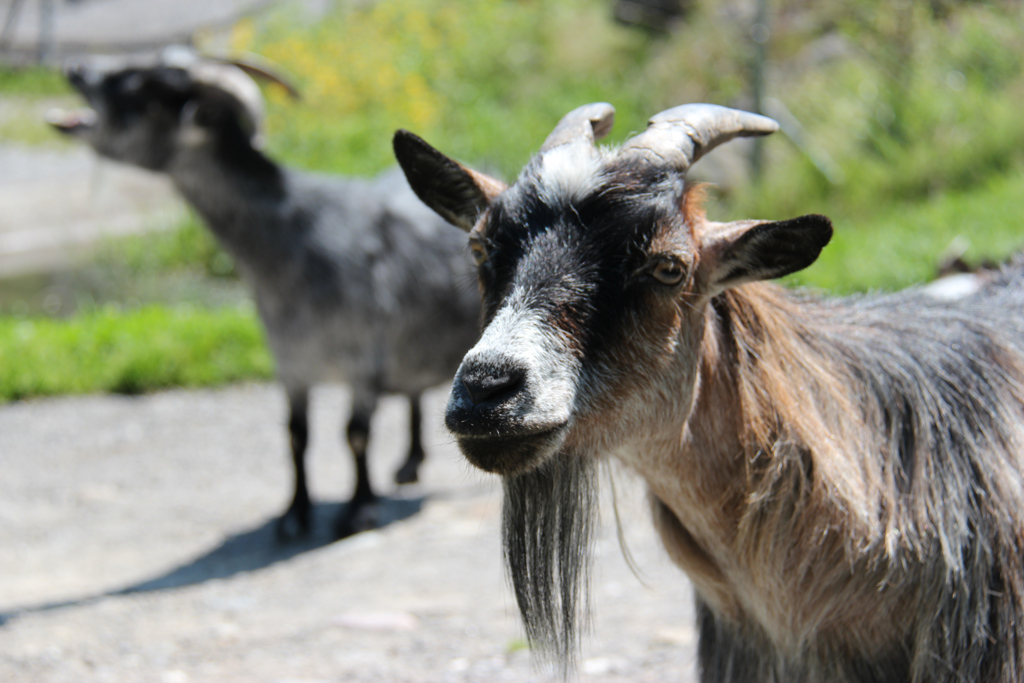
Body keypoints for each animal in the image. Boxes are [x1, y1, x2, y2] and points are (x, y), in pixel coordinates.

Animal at [54, 49, 485, 540]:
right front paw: (294, 514)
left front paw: (358, 509)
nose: (75, 68)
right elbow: (296, 436)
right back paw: (409, 463)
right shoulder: (291, 364)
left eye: (139, 87)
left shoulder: (363, 360)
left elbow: (355, 434)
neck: (297, 243)